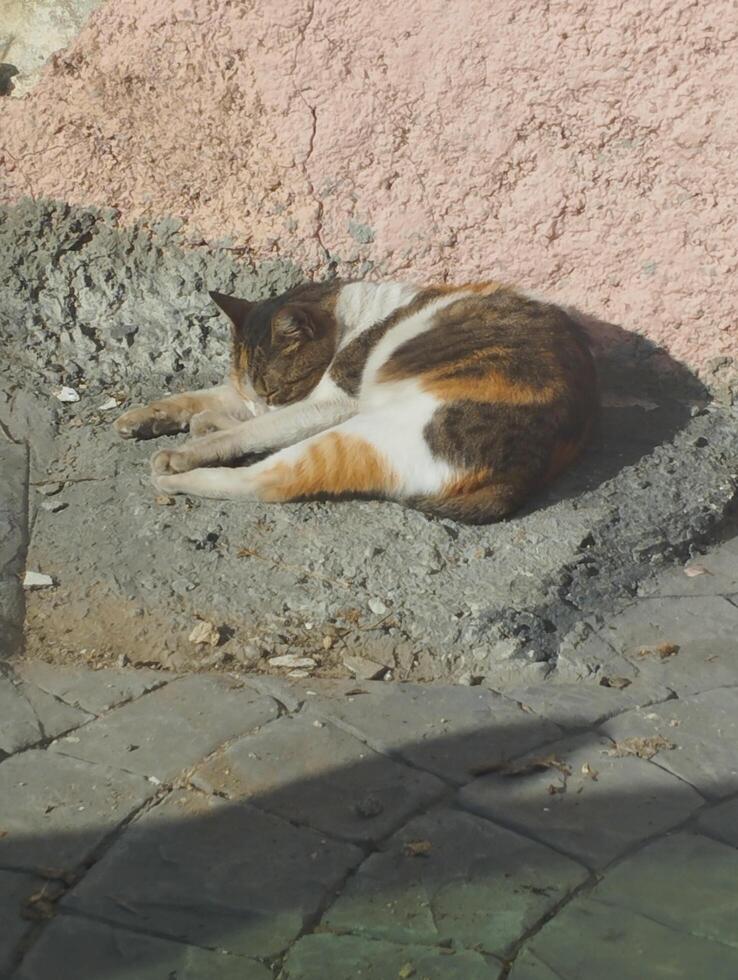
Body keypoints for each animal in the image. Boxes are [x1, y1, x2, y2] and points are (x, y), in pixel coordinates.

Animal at [116, 280, 600, 524]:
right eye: (261, 392)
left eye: (276, 390)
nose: (264, 404)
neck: (356, 316)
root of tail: (527, 469)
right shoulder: (248, 396)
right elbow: (201, 398)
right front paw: (146, 416)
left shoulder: (329, 402)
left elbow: (252, 429)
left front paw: (192, 445)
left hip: (362, 433)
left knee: (264, 481)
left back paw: (178, 476)